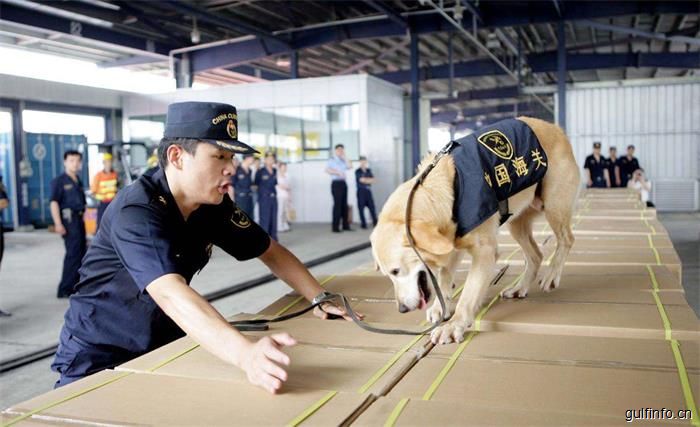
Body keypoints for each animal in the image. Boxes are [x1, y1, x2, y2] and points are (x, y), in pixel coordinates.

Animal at [372, 117, 580, 344]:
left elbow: (468, 295)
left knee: (566, 239)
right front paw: (440, 308)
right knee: (536, 254)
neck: (446, 189)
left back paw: (552, 275)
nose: (401, 309)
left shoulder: (484, 252)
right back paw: (519, 288)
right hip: (517, 223)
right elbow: (445, 277)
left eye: (395, 271)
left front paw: (454, 325)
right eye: (388, 274)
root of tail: (556, 129)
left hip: (554, 205)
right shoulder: (453, 243)